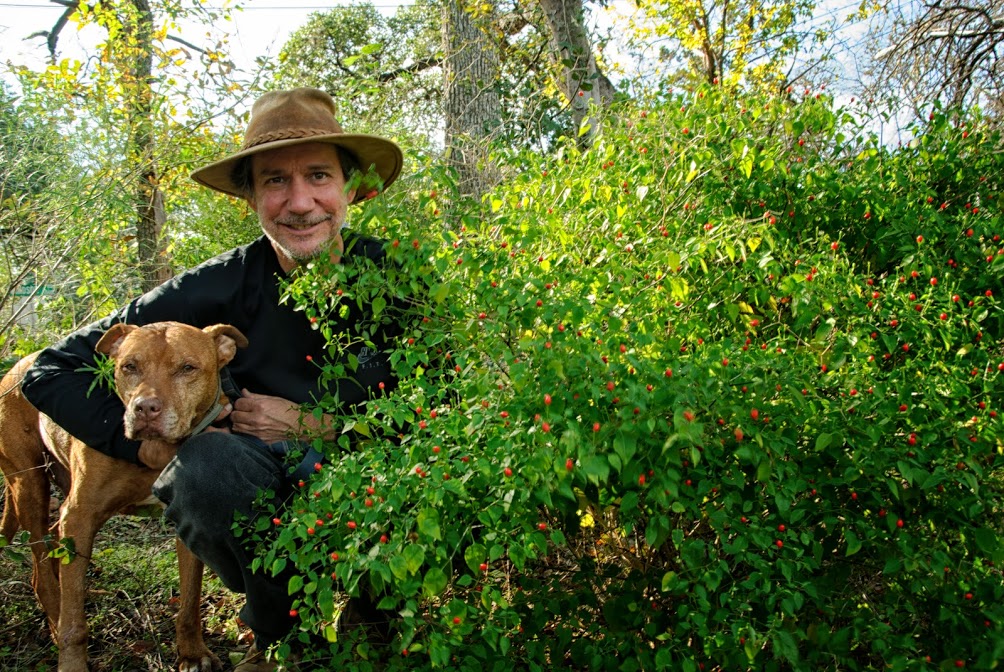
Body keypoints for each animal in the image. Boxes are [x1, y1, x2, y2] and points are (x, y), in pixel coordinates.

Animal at [0, 319, 248, 670]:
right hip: (29, 486)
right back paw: (56, 620)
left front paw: (192, 653)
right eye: (129, 366)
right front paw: (72, 662)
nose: (145, 408)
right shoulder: (80, 515)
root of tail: (17, 366)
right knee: (42, 568)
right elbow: (75, 623)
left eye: (187, 368)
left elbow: (189, 601)